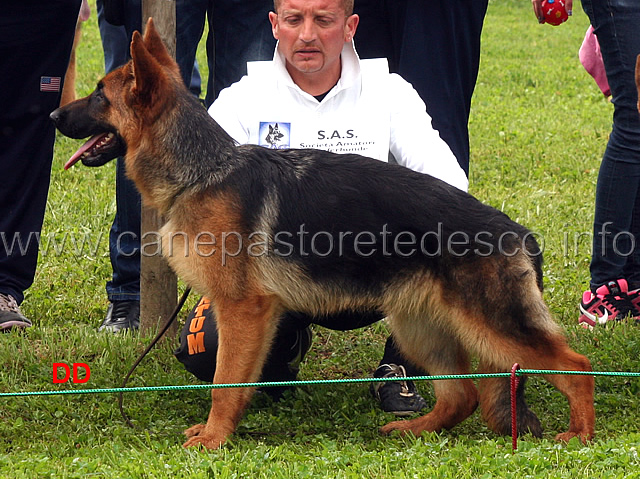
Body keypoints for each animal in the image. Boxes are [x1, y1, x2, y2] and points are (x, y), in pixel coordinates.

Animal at [51, 20, 596, 450]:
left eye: (99, 94)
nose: (54, 114)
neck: (203, 170)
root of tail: (519, 232)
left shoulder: (242, 310)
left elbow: (225, 382)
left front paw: (214, 438)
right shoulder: (249, 315)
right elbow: (234, 379)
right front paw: (223, 430)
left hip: (494, 327)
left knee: (578, 365)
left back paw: (580, 436)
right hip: (421, 326)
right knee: (462, 395)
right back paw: (415, 429)